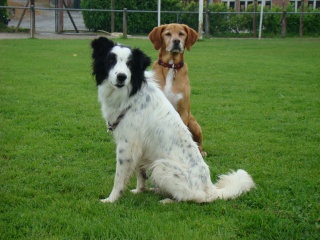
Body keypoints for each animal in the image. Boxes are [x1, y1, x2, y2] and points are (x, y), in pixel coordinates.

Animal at [90, 37, 255, 202]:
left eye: (130, 63)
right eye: (111, 60)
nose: (121, 77)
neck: (132, 95)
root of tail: (209, 188)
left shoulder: (127, 146)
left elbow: (119, 177)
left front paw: (111, 199)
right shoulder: (138, 148)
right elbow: (141, 174)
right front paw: (140, 191)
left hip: (161, 166)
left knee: (193, 196)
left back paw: (167, 200)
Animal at [149, 23, 206, 156]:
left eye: (181, 34)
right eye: (168, 34)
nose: (176, 41)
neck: (172, 66)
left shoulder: (183, 110)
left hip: (194, 124)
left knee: (198, 143)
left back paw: (201, 152)